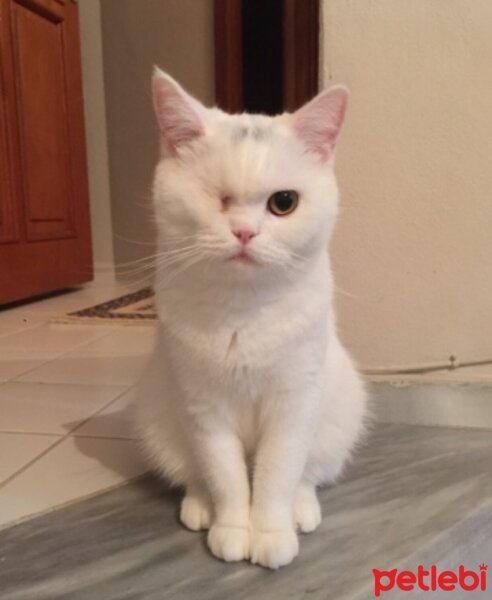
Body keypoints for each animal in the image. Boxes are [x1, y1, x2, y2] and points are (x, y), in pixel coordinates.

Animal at [136, 68, 368, 568]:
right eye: (216, 198)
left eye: (284, 202)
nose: (244, 232)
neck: (243, 312)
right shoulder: (204, 408)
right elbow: (225, 478)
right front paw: (230, 529)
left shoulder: (293, 404)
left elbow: (277, 474)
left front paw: (270, 533)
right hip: (158, 417)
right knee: (195, 474)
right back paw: (199, 506)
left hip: (340, 412)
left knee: (308, 474)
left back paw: (302, 509)